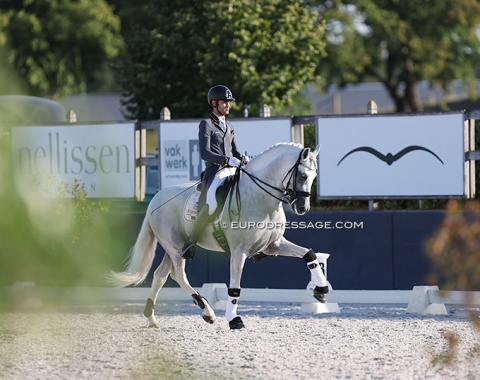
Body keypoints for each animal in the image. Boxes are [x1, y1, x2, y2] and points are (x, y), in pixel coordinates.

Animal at [110, 142, 328, 330]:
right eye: (302, 176)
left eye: (315, 176)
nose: (303, 208)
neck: (259, 197)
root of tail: (156, 198)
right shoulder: (239, 252)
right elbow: (235, 288)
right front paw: (234, 319)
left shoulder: (273, 245)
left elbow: (309, 254)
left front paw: (321, 291)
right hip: (174, 247)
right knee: (178, 275)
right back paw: (207, 311)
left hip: (175, 247)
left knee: (160, 275)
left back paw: (151, 318)